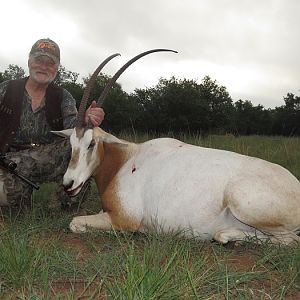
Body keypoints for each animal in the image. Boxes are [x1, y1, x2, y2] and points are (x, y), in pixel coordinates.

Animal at [54, 49, 300, 246]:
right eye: (71, 144)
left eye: (91, 143)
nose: (68, 184)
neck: (124, 160)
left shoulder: (123, 219)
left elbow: (74, 223)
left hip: (244, 204)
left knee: (290, 240)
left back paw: (227, 236)